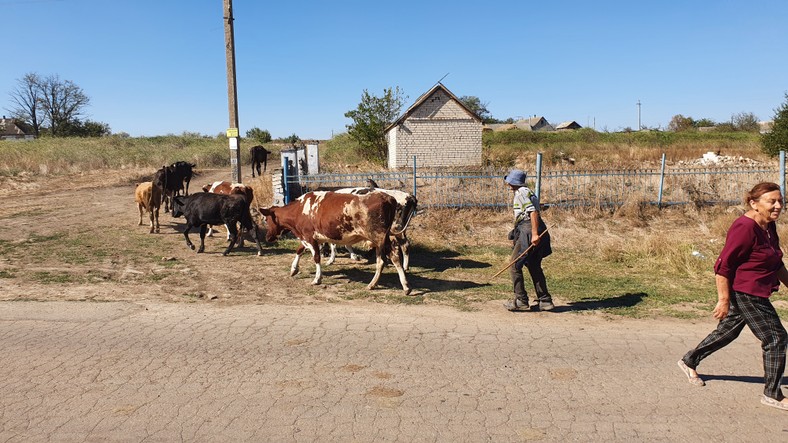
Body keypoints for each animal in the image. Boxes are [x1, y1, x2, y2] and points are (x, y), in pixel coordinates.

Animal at [260, 191, 412, 294]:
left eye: (266, 220)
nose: (267, 237)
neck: (300, 209)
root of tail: (388, 198)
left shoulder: (309, 236)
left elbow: (316, 258)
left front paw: (317, 278)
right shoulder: (310, 237)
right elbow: (299, 250)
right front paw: (293, 269)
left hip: (378, 238)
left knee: (385, 260)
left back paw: (377, 284)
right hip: (386, 238)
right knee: (392, 258)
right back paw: (402, 286)